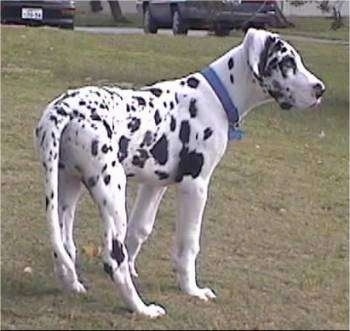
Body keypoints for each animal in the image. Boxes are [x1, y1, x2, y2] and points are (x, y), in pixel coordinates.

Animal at [34, 27, 324, 318]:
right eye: (287, 63)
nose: (320, 89)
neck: (216, 98)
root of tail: (62, 110)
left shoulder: (154, 185)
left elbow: (140, 230)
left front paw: (135, 267)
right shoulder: (195, 186)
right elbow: (189, 245)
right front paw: (192, 289)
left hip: (67, 188)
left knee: (64, 245)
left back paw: (73, 283)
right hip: (112, 189)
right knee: (114, 258)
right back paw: (141, 308)